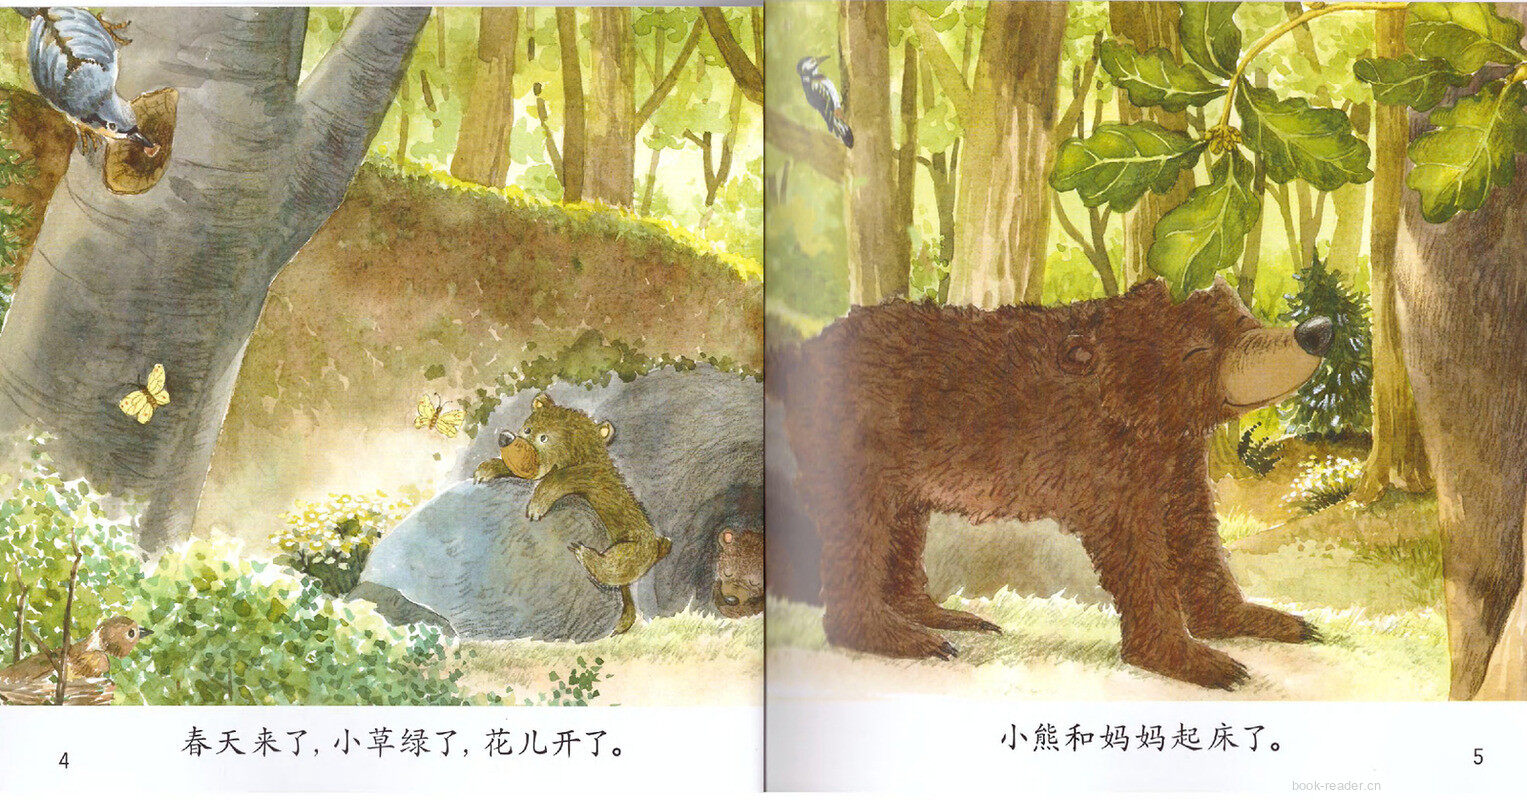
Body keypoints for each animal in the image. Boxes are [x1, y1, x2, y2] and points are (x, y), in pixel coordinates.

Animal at [475, 393, 671, 635]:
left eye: (544, 438)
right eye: (527, 429)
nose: (506, 437)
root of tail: (657, 547)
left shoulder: (595, 479)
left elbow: (564, 477)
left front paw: (536, 506)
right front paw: (486, 469)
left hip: (636, 547)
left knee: (617, 567)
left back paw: (584, 553)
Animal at [771, 278, 1334, 689]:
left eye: (1245, 319)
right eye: (1198, 350)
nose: (1317, 329)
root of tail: (801, 355)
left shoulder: (1174, 454)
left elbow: (1194, 532)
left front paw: (1263, 620)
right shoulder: (1108, 459)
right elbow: (1136, 545)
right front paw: (1194, 660)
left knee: (904, 522)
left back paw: (941, 616)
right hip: (850, 444)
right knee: (857, 530)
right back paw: (900, 636)